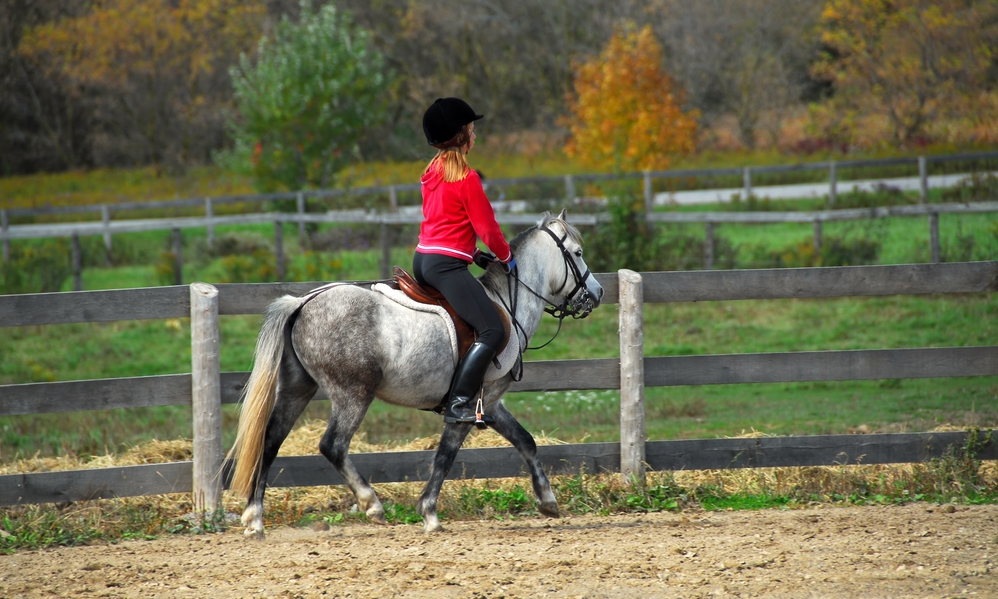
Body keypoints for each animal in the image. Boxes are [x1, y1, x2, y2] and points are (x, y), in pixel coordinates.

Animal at [229, 210, 600, 536]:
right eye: (578, 253)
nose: (597, 293)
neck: (507, 303)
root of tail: (302, 302)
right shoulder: (466, 407)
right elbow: (445, 456)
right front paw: (430, 514)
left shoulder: (491, 403)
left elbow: (526, 441)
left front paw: (547, 500)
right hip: (353, 395)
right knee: (333, 445)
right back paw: (371, 503)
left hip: (297, 389)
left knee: (270, 440)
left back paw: (254, 519)